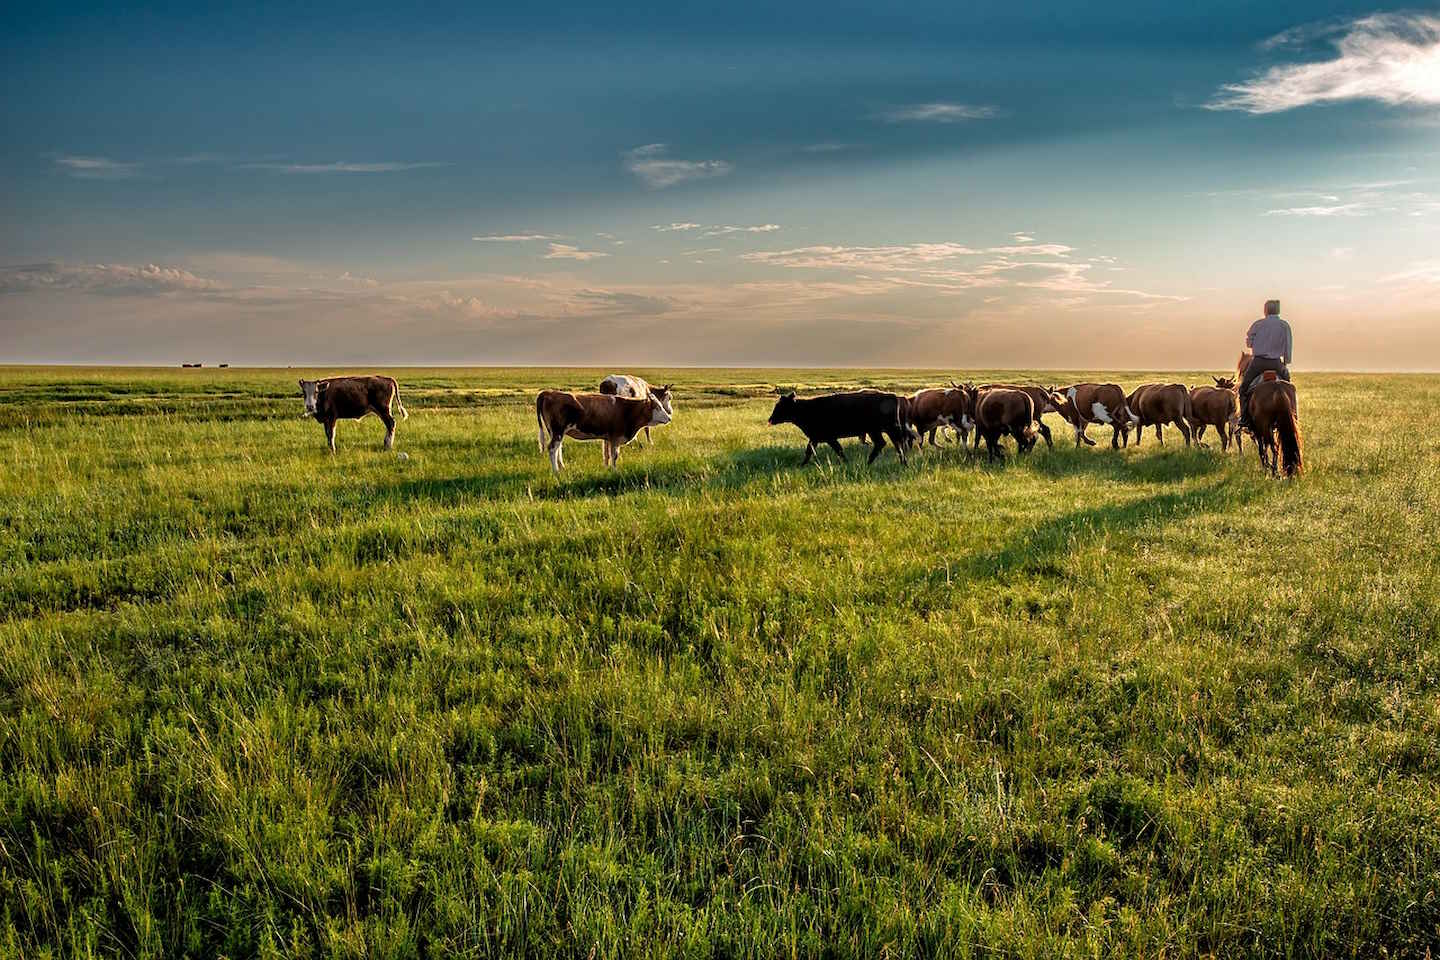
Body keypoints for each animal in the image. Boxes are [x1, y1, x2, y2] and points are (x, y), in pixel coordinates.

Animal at [538, 388, 671, 472]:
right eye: (658, 407)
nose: (669, 418)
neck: (627, 410)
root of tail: (548, 392)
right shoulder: (615, 437)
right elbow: (614, 455)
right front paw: (615, 470)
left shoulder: (609, 438)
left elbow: (608, 454)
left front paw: (609, 468)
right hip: (558, 431)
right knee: (552, 449)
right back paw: (556, 471)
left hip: (556, 432)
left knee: (558, 449)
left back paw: (562, 468)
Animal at [766, 391, 910, 466]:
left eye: (780, 406)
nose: (770, 419)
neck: (806, 409)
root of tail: (891, 396)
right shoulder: (815, 438)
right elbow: (809, 451)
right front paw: (802, 465)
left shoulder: (829, 438)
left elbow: (838, 450)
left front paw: (846, 462)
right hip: (878, 431)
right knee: (888, 444)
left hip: (882, 430)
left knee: (891, 444)